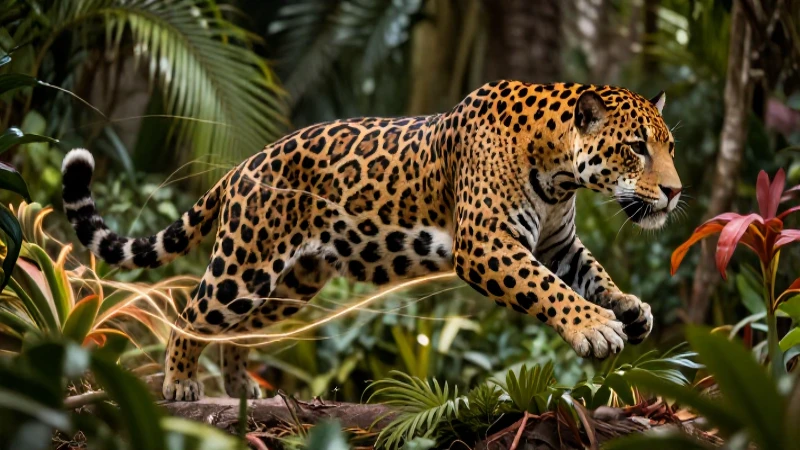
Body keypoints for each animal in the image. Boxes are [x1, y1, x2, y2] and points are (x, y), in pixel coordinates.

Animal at [61, 80, 681, 401]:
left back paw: (239, 389)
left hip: (288, 285)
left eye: (669, 146)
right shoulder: (487, 244)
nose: (676, 192)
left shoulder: (558, 244)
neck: (560, 173)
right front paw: (595, 329)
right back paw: (181, 383)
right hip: (244, 266)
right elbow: (549, 289)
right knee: (189, 311)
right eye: (635, 148)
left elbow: (590, 275)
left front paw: (629, 308)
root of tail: (241, 166)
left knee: (234, 328)